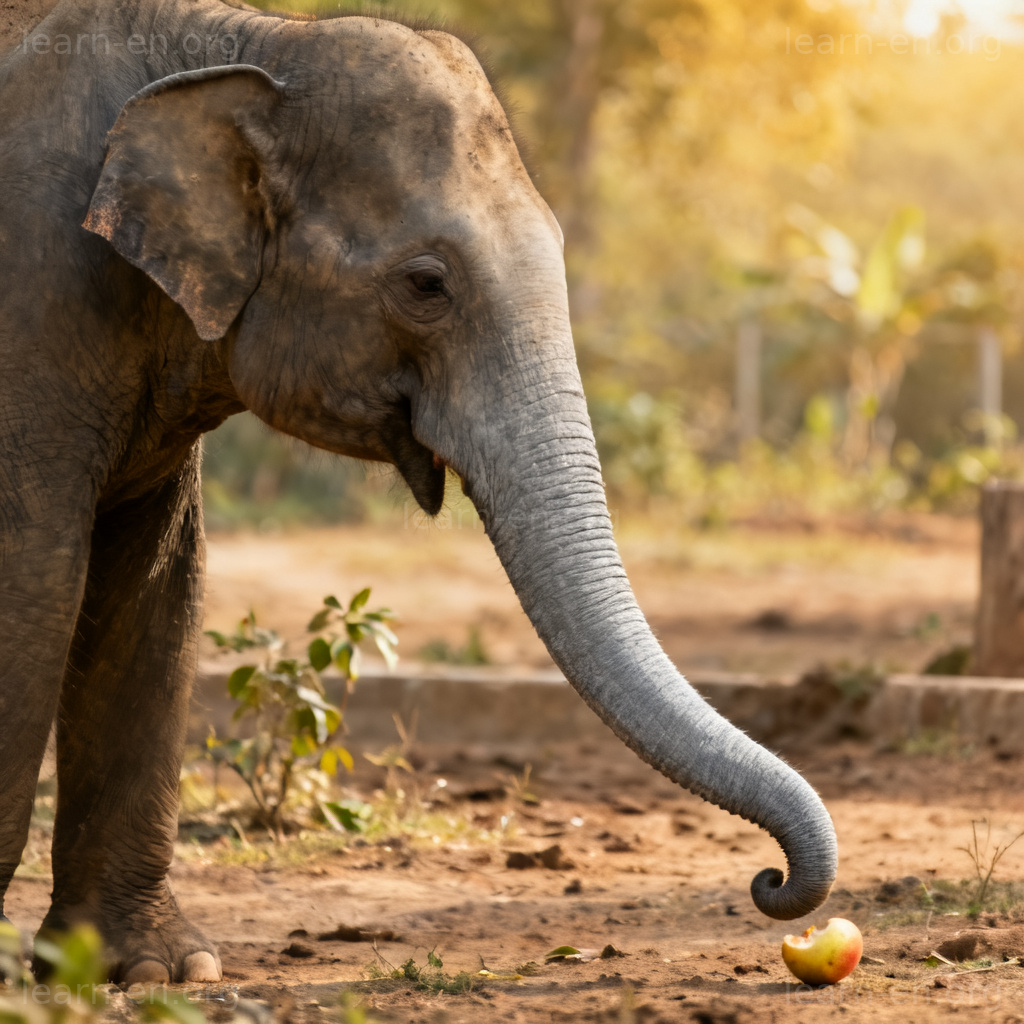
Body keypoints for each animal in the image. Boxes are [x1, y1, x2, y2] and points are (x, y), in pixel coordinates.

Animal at [0, 0, 838, 984]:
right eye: (427, 283)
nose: (769, 881)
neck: (254, 38)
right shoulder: (31, 294)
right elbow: (34, 580)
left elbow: (155, 592)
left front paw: (153, 972)